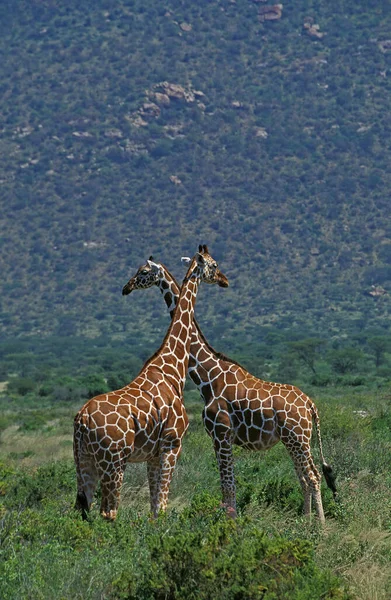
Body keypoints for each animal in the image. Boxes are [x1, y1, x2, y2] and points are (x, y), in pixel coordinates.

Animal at [72, 247, 230, 520]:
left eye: (142, 271)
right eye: (214, 265)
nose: (224, 280)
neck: (172, 366)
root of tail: (82, 420)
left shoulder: (152, 454)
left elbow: (154, 507)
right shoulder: (172, 444)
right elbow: (162, 505)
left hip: (83, 461)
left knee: (83, 509)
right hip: (113, 461)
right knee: (109, 512)